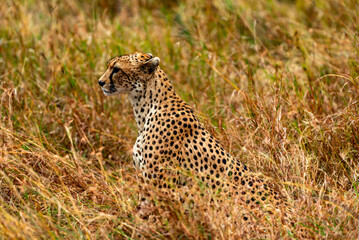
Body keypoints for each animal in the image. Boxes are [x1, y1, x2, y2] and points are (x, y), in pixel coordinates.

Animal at [97, 51, 300, 232]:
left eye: (116, 69)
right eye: (109, 66)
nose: (100, 82)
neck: (146, 107)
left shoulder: (161, 186)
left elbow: (150, 217)